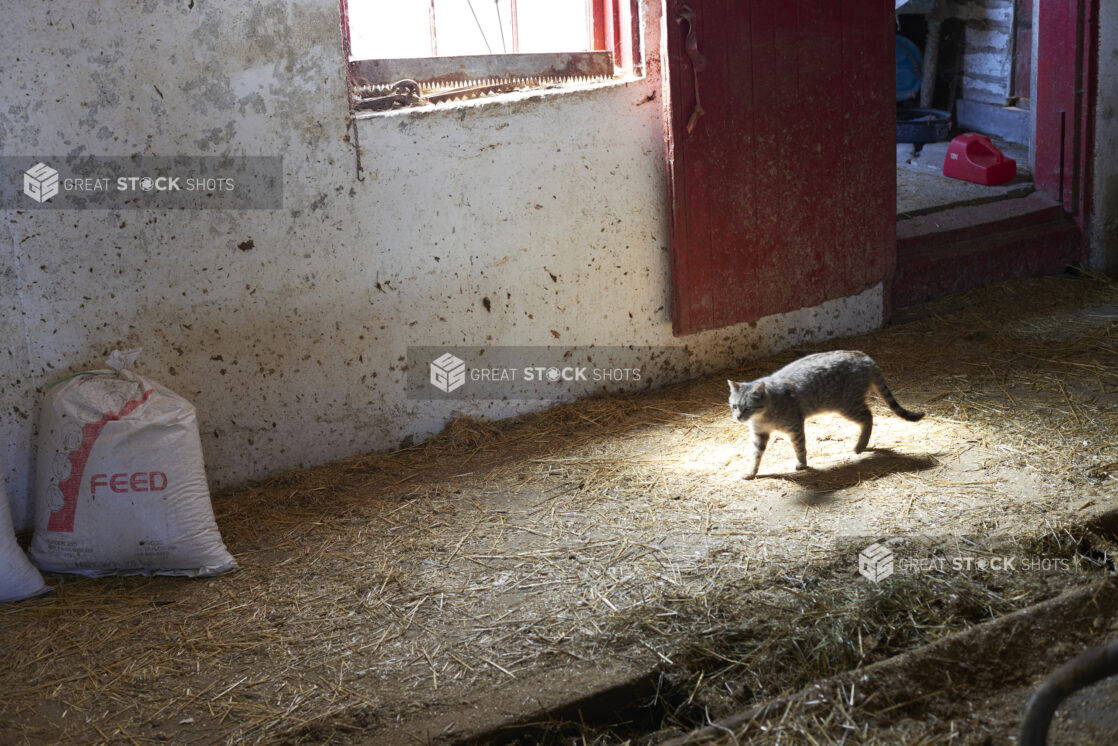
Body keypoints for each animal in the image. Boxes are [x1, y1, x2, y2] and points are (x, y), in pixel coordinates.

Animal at [724, 351, 925, 478]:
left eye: (747, 407)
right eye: (734, 406)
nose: (738, 417)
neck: (762, 416)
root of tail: (864, 356)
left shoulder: (795, 426)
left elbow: (799, 447)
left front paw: (802, 464)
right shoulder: (759, 434)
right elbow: (755, 456)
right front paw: (750, 472)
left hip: (847, 405)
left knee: (869, 417)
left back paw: (860, 445)